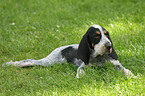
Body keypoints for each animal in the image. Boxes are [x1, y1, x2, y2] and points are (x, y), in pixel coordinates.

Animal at [4, 24, 136, 78]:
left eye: (106, 34)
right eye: (96, 36)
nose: (109, 46)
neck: (99, 58)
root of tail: (60, 48)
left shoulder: (116, 64)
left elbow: (125, 70)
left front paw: (133, 76)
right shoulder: (84, 66)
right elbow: (80, 71)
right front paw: (80, 78)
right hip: (47, 62)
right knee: (29, 61)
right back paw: (10, 64)